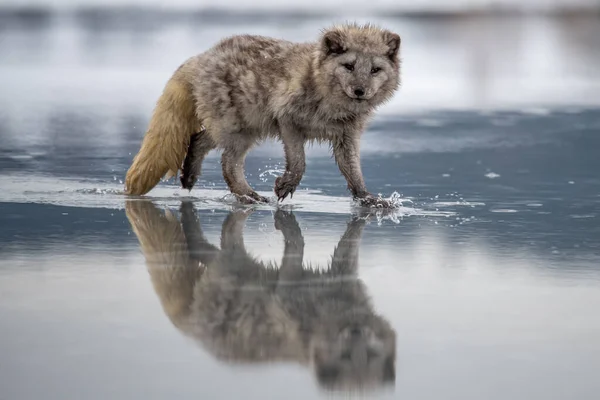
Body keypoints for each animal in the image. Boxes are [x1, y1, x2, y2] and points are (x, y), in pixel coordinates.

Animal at [124, 22, 400, 206]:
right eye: (349, 66)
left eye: (375, 69)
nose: (360, 91)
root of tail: (201, 58)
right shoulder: (287, 120)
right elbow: (298, 162)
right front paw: (285, 186)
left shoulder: (346, 137)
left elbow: (354, 172)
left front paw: (369, 199)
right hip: (240, 130)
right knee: (227, 163)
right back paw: (249, 196)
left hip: (239, 128)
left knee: (198, 141)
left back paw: (191, 176)